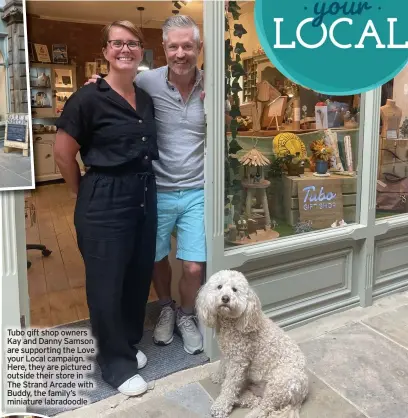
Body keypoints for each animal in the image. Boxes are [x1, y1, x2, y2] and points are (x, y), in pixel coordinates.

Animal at [196, 270, 308, 416]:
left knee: (265, 407)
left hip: (279, 384)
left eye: (234, 289)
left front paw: (221, 405)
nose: (225, 298)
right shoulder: (227, 352)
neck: (233, 323)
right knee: (256, 400)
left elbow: (230, 386)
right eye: (219, 287)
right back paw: (241, 398)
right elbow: (222, 365)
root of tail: (301, 396)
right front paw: (219, 377)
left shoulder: (238, 361)